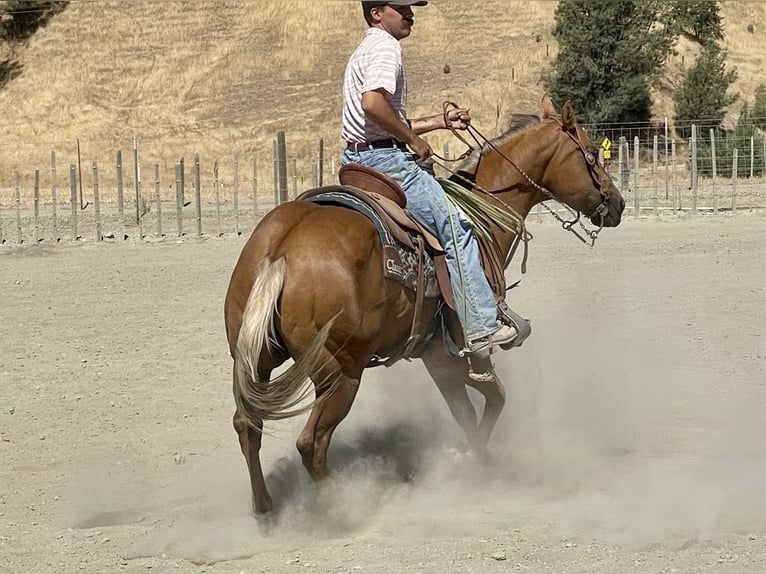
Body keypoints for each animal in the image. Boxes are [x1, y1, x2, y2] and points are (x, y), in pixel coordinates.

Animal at [225, 94, 628, 516]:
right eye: (592, 155)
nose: (618, 203)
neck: (481, 214)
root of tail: (281, 250)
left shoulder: (435, 355)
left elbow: (467, 413)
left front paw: (473, 459)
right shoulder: (463, 349)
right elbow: (496, 397)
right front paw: (480, 465)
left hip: (255, 360)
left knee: (247, 425)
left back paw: (264, 508)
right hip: (341, 373)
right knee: (311, 444)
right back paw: (344, 508)